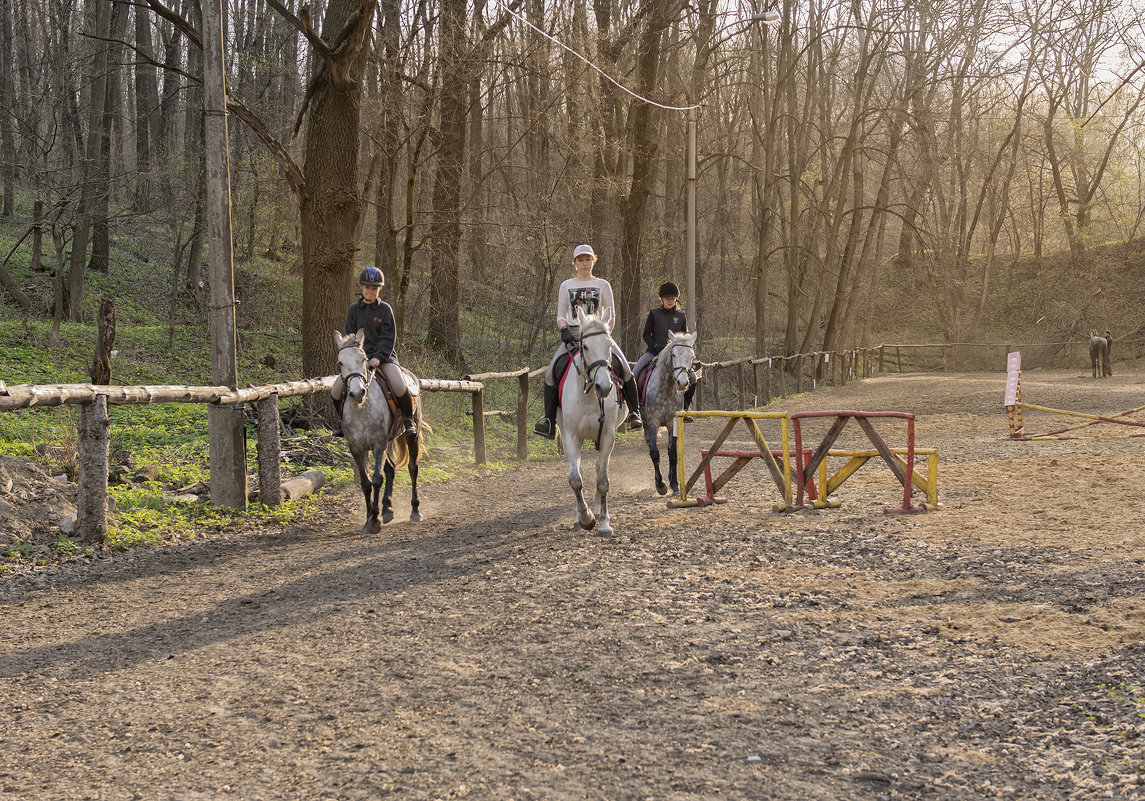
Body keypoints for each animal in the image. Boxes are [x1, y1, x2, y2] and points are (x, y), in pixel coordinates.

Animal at [334, 329, 428, 528]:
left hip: (410, 436)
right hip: (388, 441)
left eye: (363, 359)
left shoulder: (378, 445)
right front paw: (370, 515)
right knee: (390, 470)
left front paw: (374, 519)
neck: (362, 408)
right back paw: (387, 509)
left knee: (413, 468)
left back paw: (415, 511)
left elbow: (377, 479)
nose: (357, 393)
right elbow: (366, 482)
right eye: (340, 362)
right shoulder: (357, 448)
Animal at [556, 308, 627, 535]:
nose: (604, 387)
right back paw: (580, 516)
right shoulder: (571, 436)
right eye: (585, 346)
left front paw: (604, 522)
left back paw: (596, 509)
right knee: (578, 469)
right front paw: (585, 518)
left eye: (609, 345)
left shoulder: (607, 435)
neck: (588, 396)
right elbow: (575, 479)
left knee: (598, 469)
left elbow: (602, 480)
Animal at [636, 329, 696, 494]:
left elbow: (673, 453)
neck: (667, 388)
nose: (682, 382)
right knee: (650, 444)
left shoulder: (672, 423)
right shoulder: (652, 423)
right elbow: (655, 453)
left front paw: (674, 484)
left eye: (692, 357)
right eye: (674, 355)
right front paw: (660, 485)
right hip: (645, 422)